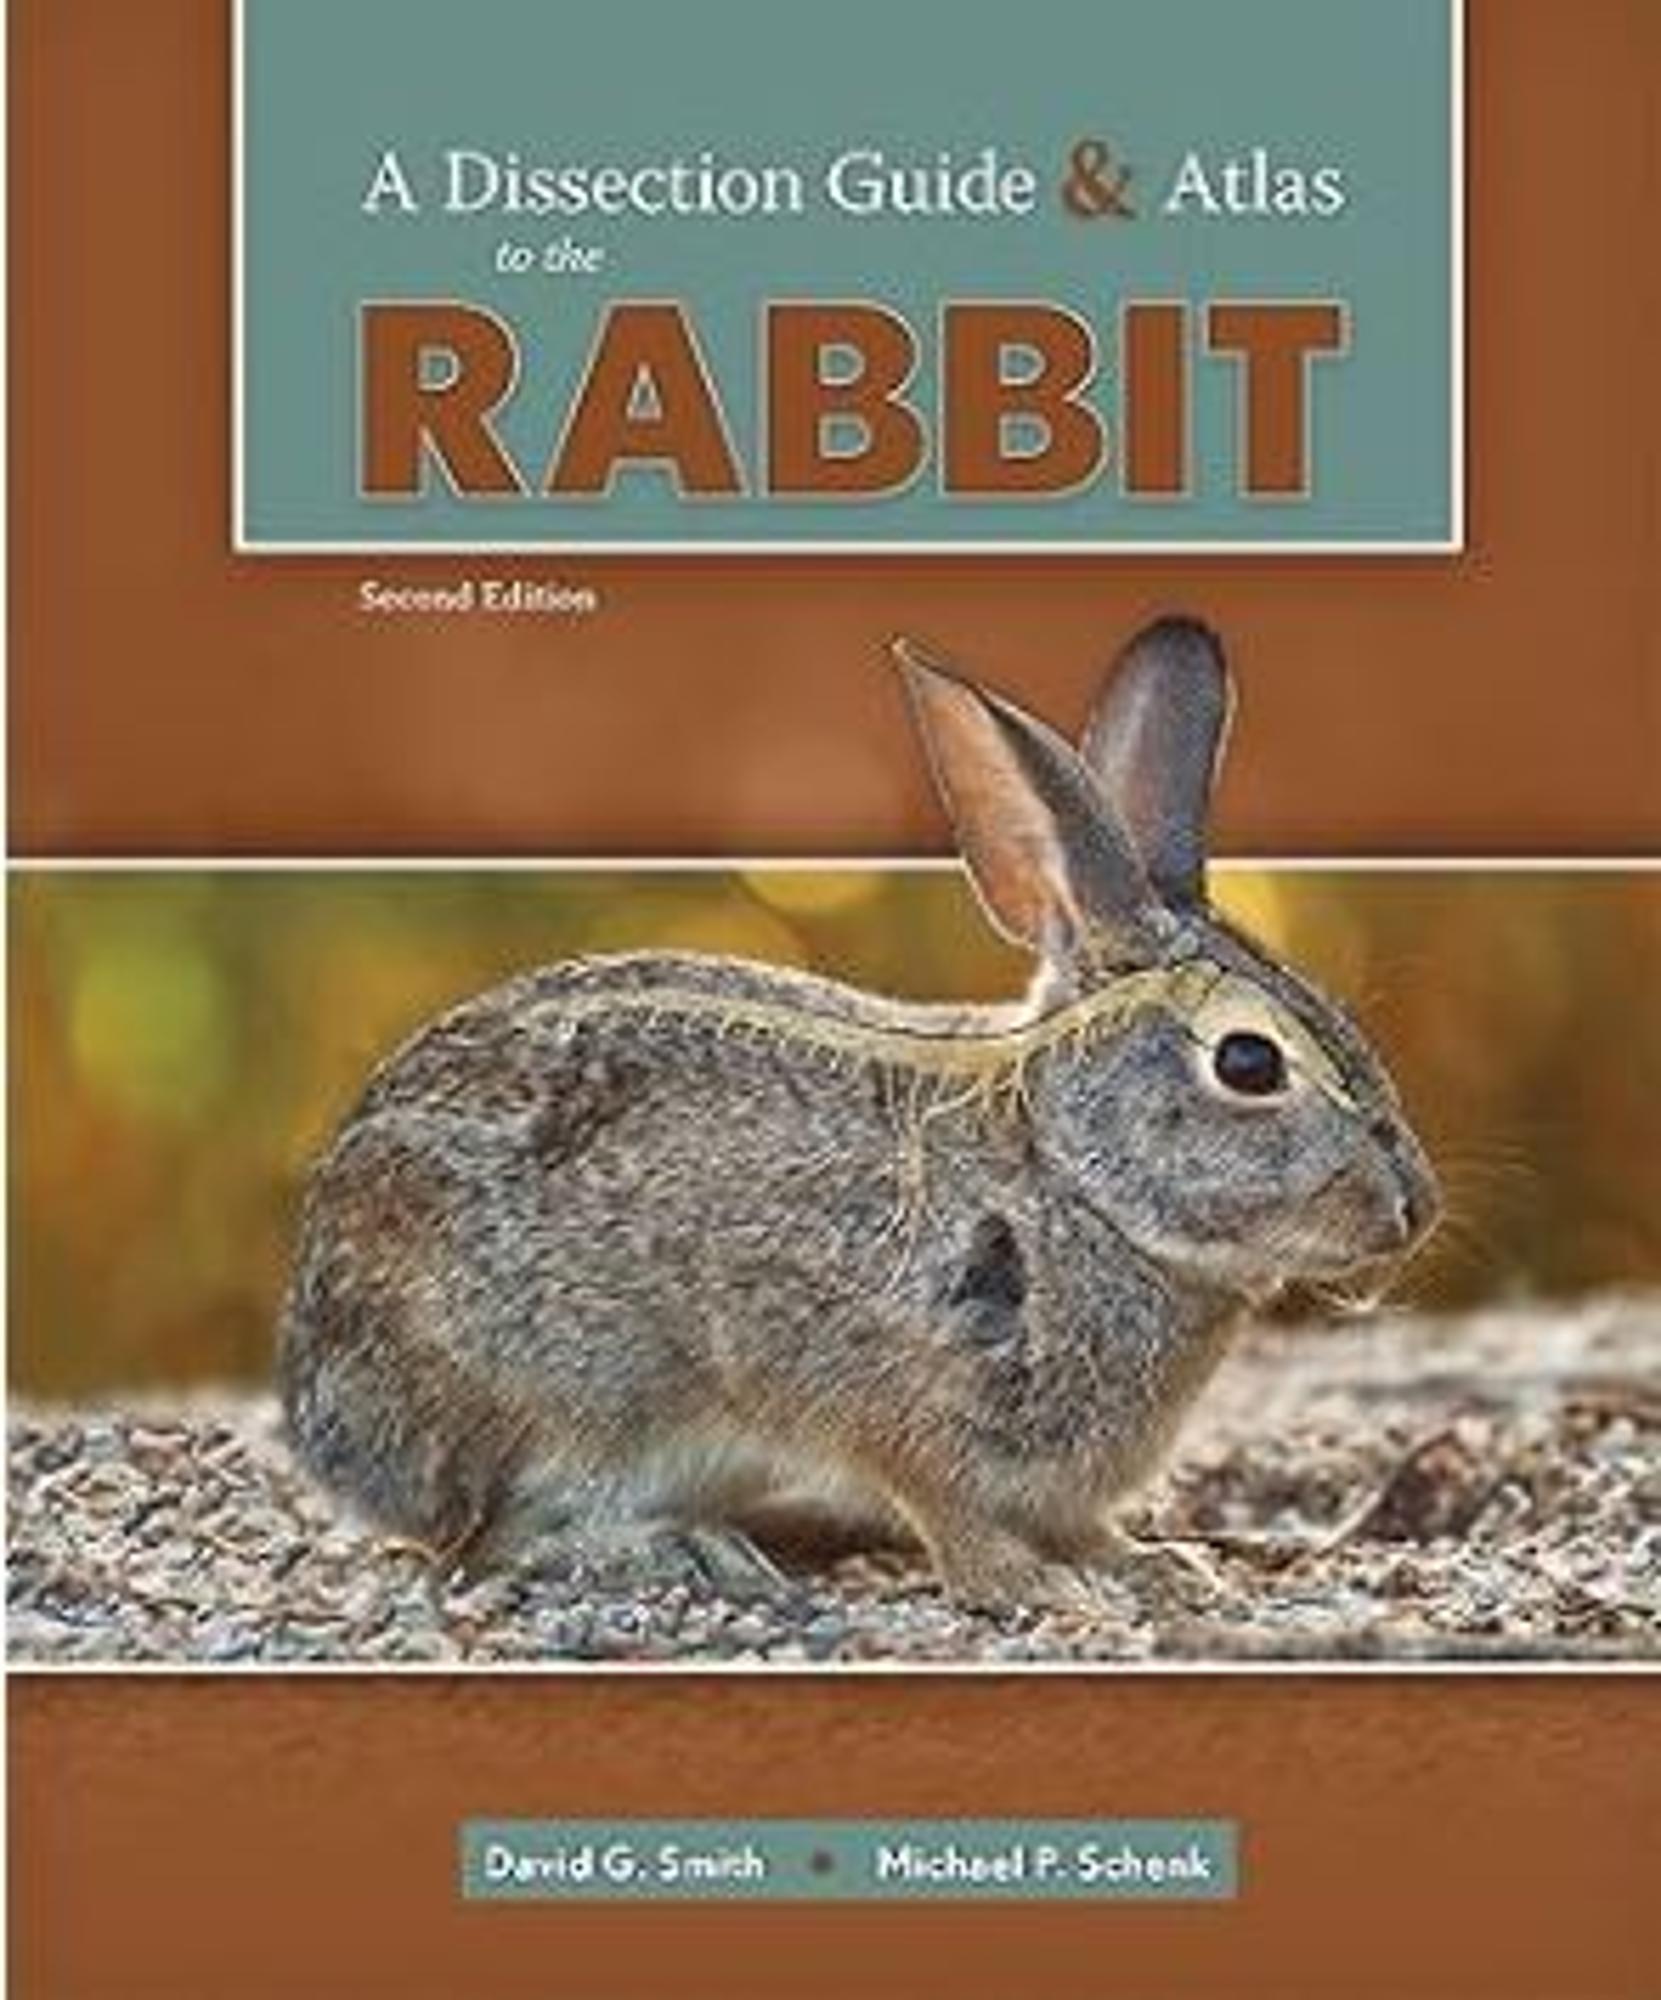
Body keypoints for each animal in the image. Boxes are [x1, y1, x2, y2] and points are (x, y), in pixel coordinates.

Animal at [277, 615, 1439, 1613]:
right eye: (1247, 1061)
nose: (1411, 1208)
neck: (1064, 1177)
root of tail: (316, 1394)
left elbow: (1081, 1524)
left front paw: (1151, 1565)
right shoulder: (866, 1381)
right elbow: (932, 1494)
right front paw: (1031, 1585)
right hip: (559, 1395)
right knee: (486, 1537)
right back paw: (678, 1549)